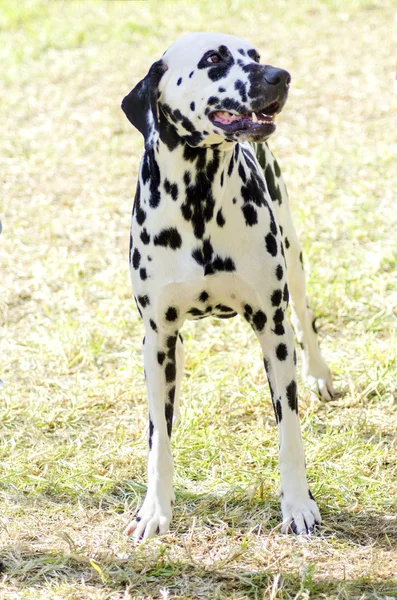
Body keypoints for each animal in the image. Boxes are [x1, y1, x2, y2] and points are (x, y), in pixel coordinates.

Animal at [121, 31, 334, 540]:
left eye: (255, 56)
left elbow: (289, 430)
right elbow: (159, 438)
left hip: (294, 263)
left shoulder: (273, 330)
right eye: (213, 58)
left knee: (306, 318)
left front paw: (298, 504)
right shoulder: (157, 337)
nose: (280, 76)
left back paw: (320, 373)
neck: (199, 201)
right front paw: (154, 510)